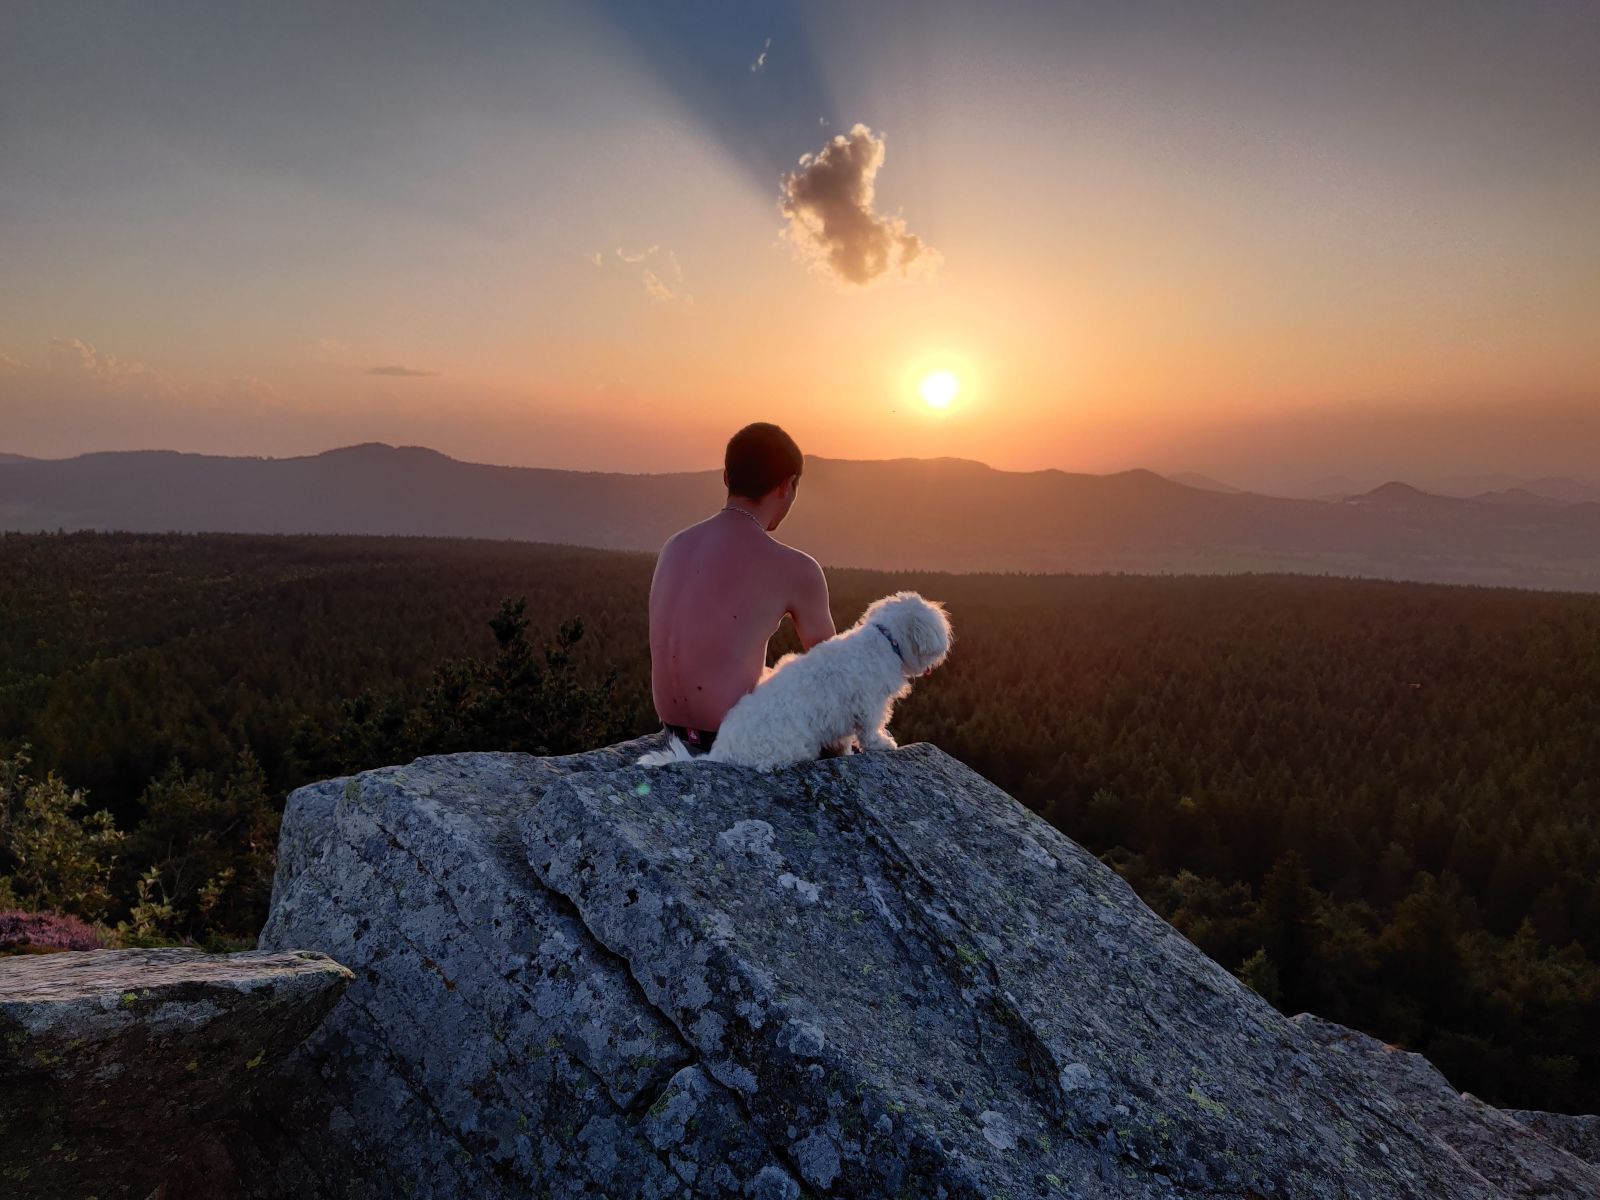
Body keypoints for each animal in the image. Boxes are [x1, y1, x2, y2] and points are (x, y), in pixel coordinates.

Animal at [643, 588, 953, 771]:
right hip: (792, 744)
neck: (884, 639)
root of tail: (719, 753)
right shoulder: (869, 703)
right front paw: (883, 744)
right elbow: (870, 730)